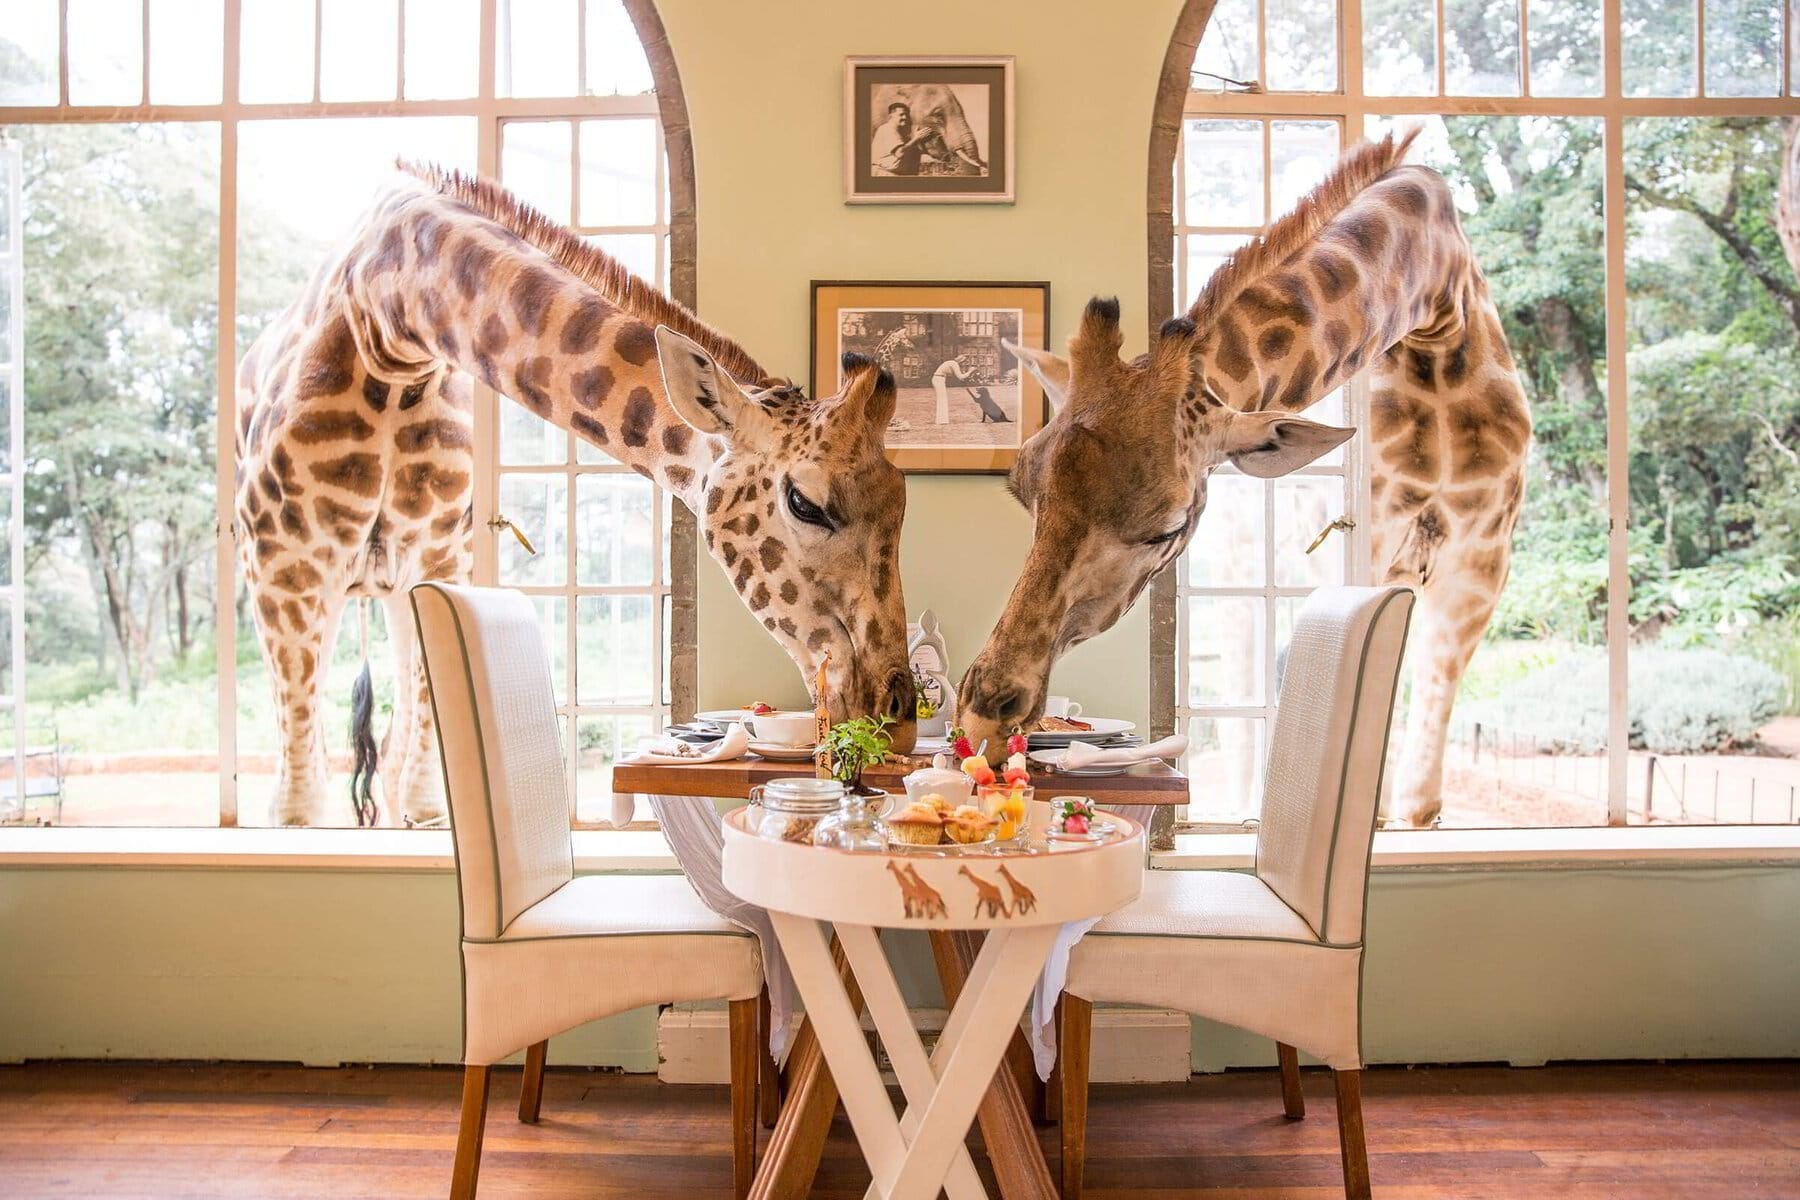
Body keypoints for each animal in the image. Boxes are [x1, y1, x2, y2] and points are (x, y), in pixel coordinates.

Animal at [237, 164, 916, 827]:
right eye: (805, 504)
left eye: (903, 505)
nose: (900, 717)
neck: (389, 322)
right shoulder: (284, 570)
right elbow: (296, 809)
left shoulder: (438, 560)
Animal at [958, 131, 1531, 828]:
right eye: (1024, 494)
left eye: (1168, 527)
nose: (983, 717)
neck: (1437, 311)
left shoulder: (1477, 566)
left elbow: (1418, 788)